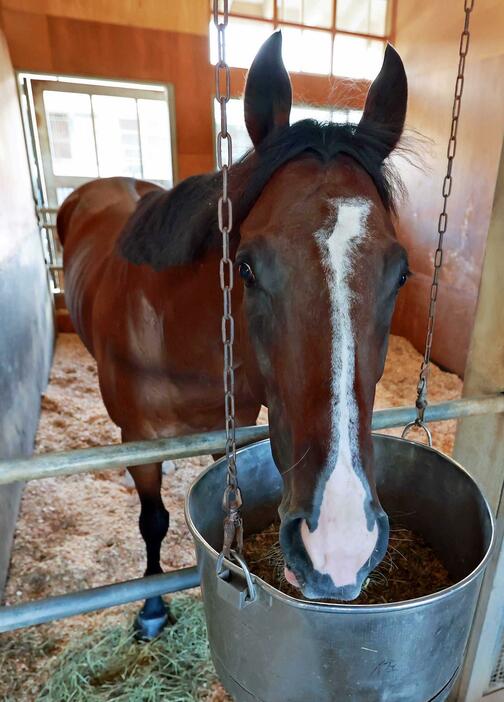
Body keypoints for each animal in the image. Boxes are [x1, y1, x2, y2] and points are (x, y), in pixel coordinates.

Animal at [57, 31, 408, 640]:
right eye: (244, 267)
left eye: (402, 274)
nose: (338, 548)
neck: (175, 334)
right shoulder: (139, 438)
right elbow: (153, 521)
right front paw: (152, 608)